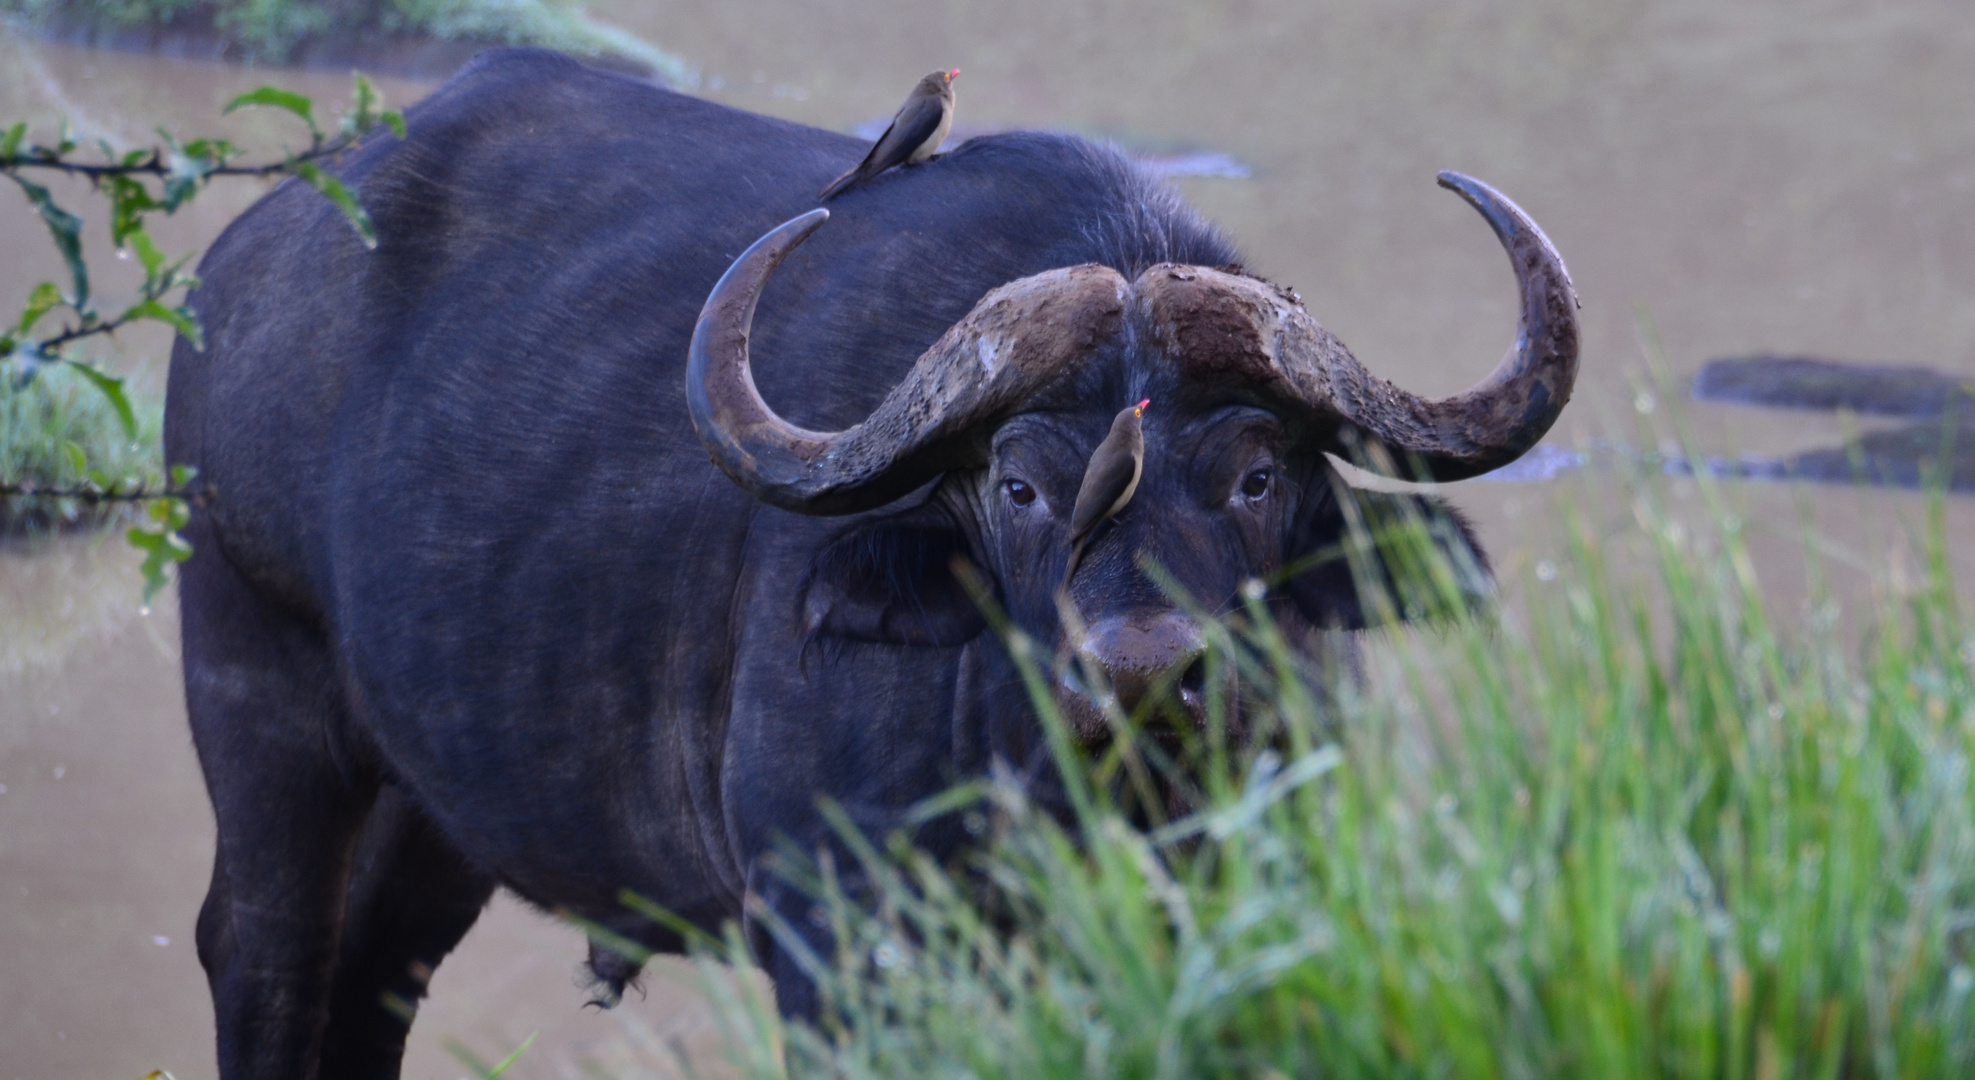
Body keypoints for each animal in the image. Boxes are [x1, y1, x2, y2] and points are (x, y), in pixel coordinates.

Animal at [173, 46, 1587, 1074]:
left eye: (1256, 476)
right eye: (1017, 486)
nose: (1138, 678)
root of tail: (244, 269)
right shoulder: (835, 946)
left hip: (439, 792)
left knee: (378, 973)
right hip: (253, 671)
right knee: (266, 957)